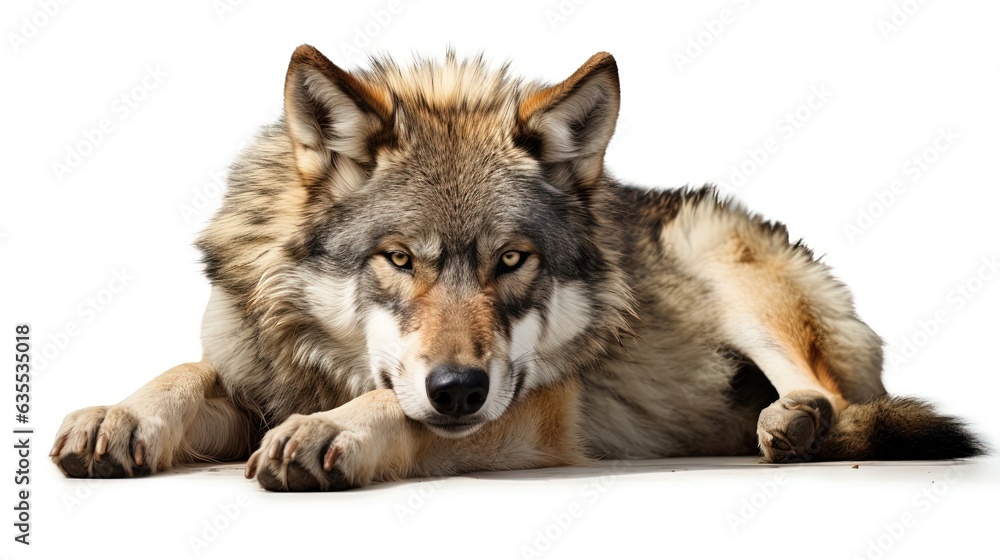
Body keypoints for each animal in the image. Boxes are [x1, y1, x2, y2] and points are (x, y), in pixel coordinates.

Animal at [51, 45, 983, 491]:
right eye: (399, 259)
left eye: (511, 261)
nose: (459, 389)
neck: (324, 366)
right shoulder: (251, 371)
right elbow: (185, 373)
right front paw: (117, 418)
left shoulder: (535, 409)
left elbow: (393, 408)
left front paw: (331, 430)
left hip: (721, 261)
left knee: (831, 396)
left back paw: (793, 428)